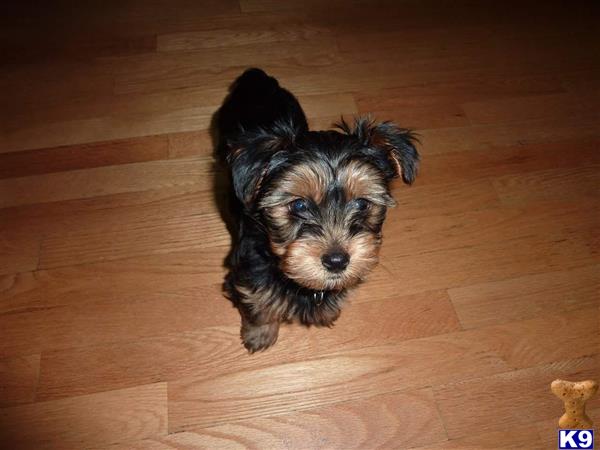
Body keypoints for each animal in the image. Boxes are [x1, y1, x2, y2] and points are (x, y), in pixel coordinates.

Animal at [218, 69, 420, 352]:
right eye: (299, 205)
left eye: (362, 204)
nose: (336, 261)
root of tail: (255, 76)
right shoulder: (248, 271)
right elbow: (258, 303)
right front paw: (260, 334)